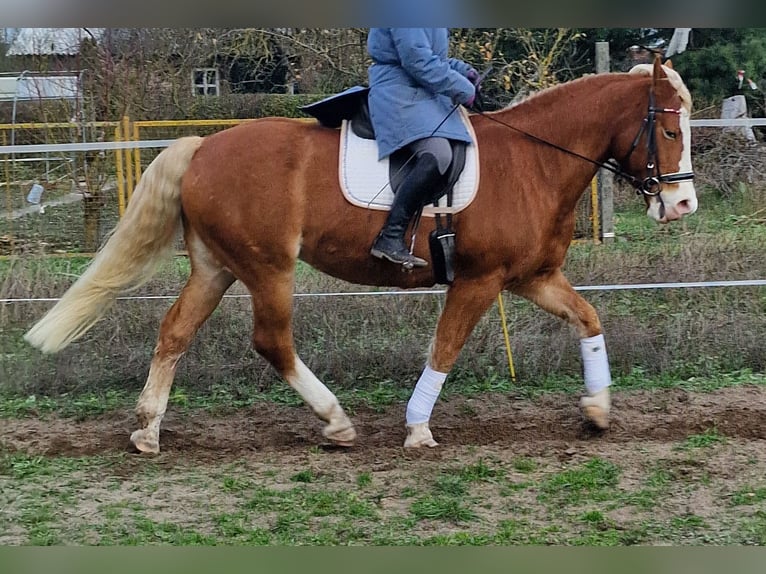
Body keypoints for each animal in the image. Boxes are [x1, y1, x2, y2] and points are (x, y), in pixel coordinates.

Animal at [24, 57, 697, 453]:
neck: (535, 160)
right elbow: (445, 348)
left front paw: (598, 410)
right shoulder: (478, 281)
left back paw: (147, 429)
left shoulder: (532, 277)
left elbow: (589, 318)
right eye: (668, 129)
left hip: (218, 267)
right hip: (268, 267)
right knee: (272, 341)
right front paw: (418, 426)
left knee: (175, 332)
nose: (683, 203)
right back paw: (335, 421)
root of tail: (204, 146)